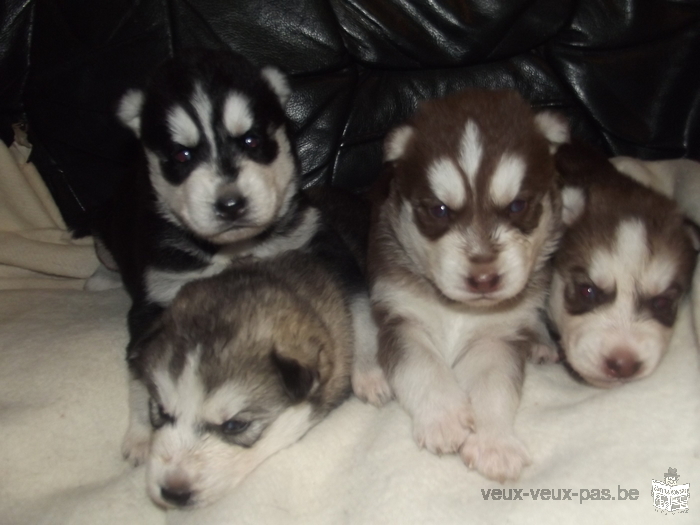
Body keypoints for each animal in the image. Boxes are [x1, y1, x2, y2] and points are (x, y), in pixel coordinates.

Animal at [358, 88, 568, 482]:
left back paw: (541, 342)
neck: (460, 310)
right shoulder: (402, 317)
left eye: (518, 205)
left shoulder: (496, 337)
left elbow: (493, 386)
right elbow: (423, 365)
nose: (484, 279)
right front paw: (444, 419)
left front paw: (495, 444)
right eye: (439, 210)